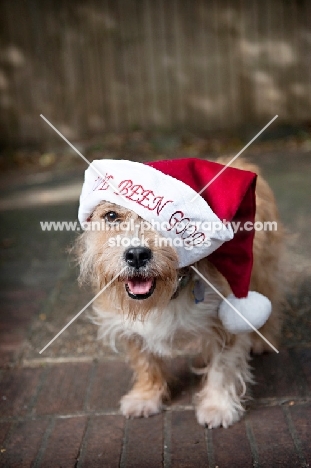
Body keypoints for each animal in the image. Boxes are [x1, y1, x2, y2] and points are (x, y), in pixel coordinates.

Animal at [74, 157, 284, 428]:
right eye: (111, 215)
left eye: (170, 223)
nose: (137, 254)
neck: (164, 296)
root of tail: (238, 162)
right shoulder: (129, 324)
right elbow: (145, 361)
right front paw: (146, 397)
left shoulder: (225, 322)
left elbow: (223, 367)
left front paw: (217, 406)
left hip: (261, 271)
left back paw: (262, 339)